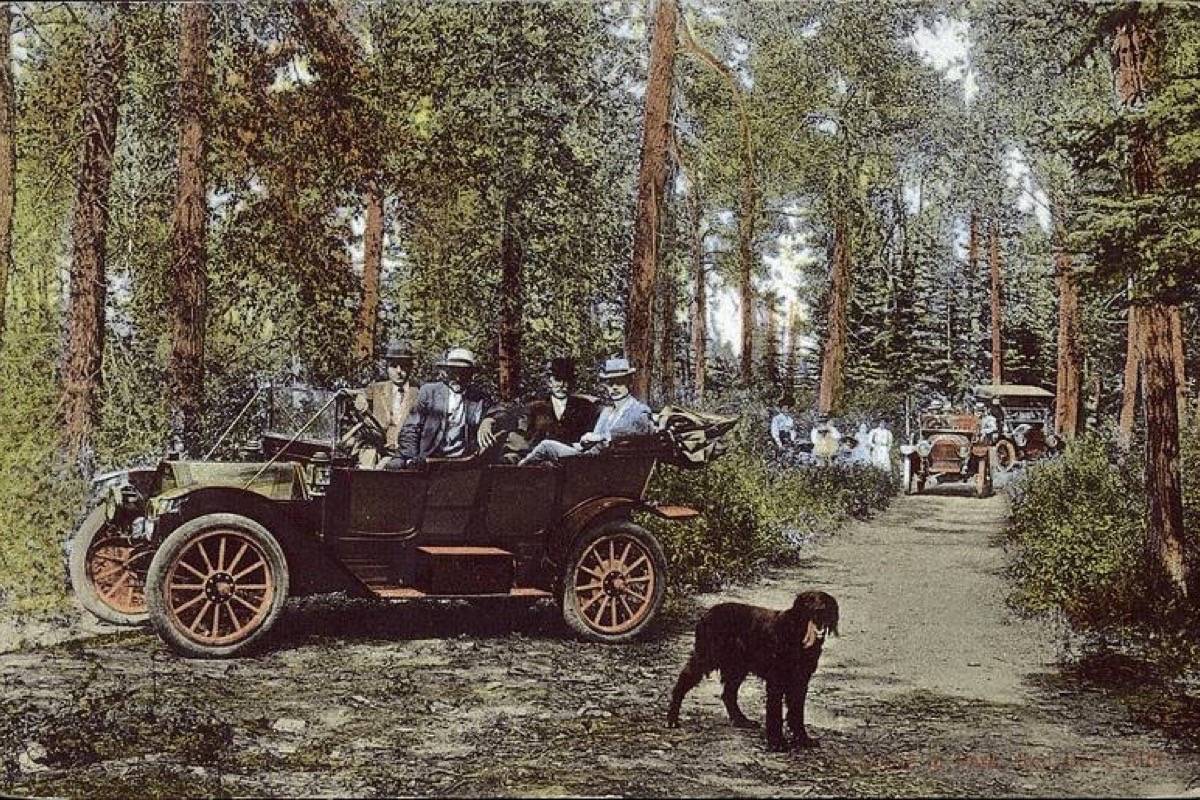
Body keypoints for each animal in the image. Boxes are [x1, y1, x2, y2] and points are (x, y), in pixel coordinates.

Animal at [667, 587, 835, 753]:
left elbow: (797, 713)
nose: (820, 610)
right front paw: (777, 742)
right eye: (808, 601)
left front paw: (803, 739)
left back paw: (741, 720)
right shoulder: (776, 682)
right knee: (682, 682)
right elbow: (775, 713)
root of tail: (707, 614)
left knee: (728, 695)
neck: (796, 634)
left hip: (737, 668)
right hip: (706, 658)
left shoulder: (800, 682)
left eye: (825, 601)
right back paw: (672, 718)